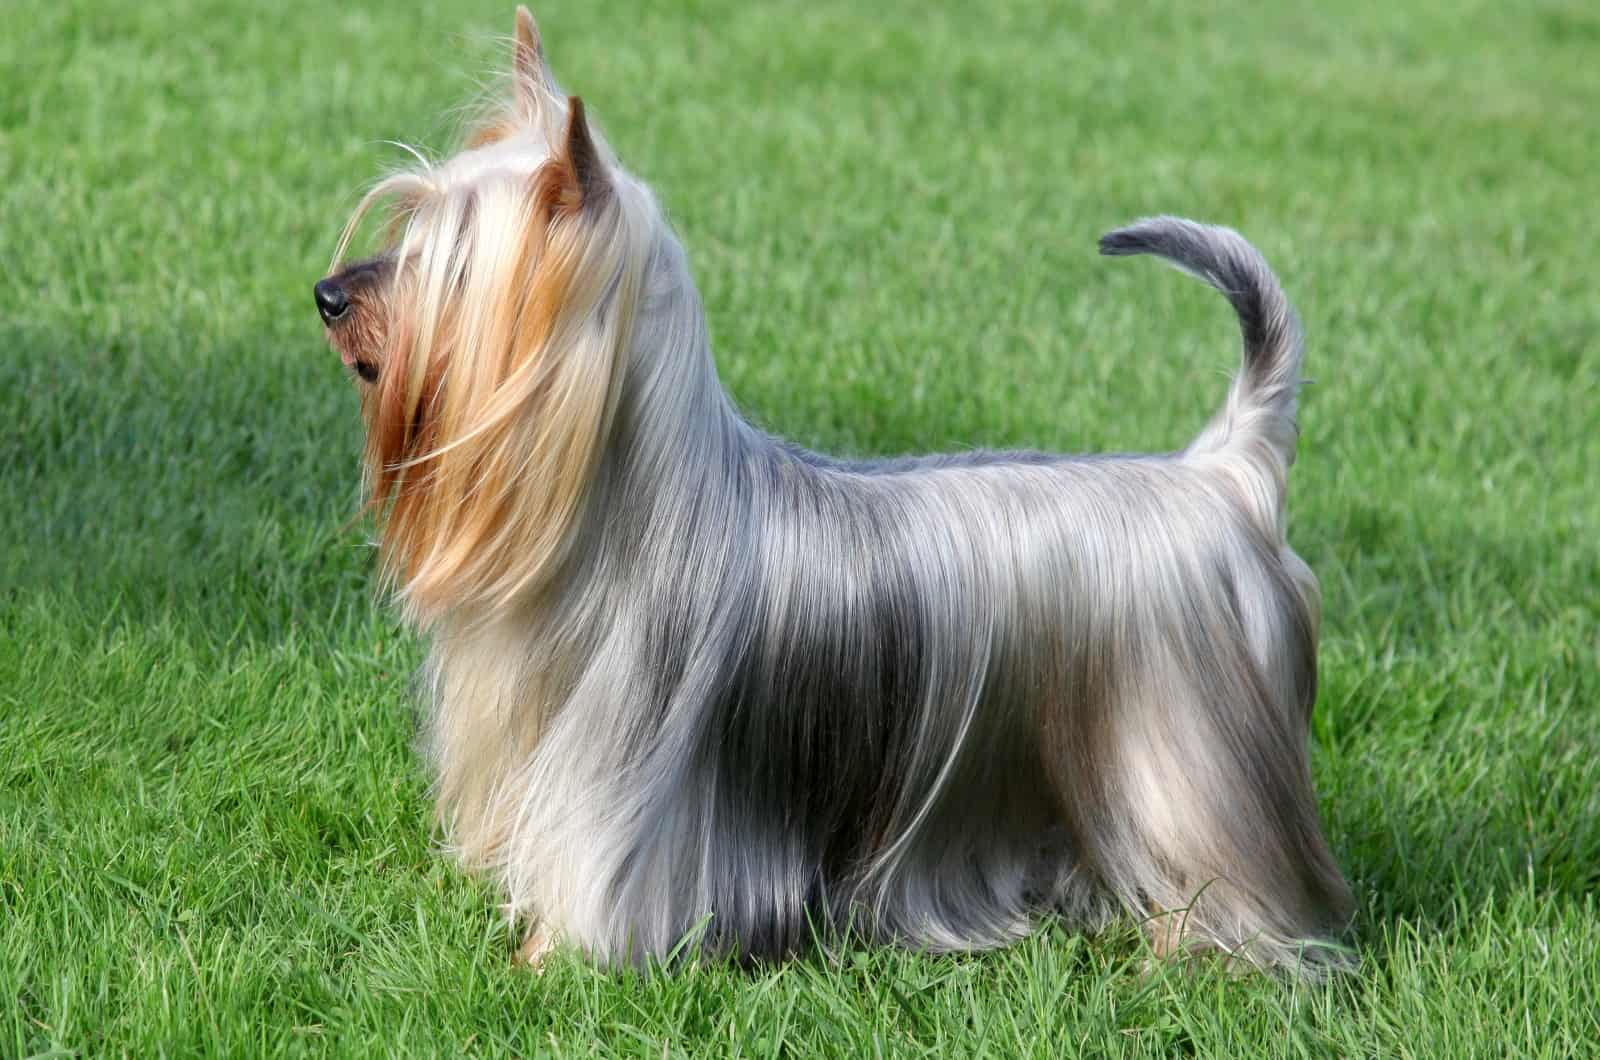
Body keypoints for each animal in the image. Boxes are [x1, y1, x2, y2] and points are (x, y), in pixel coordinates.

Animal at [312, 6, 1350, 979]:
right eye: (406, 229)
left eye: (452, 265)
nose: (328, 295)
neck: (626, 525)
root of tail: (1223, 471)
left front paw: (548, 955)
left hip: (1185, 757)